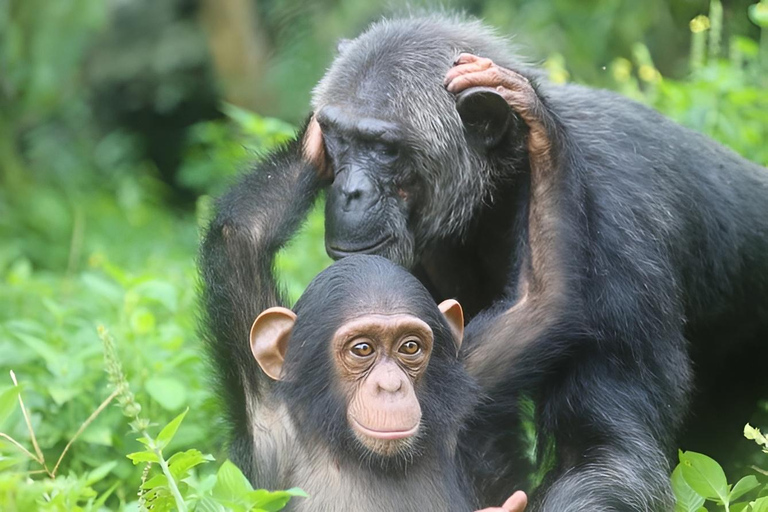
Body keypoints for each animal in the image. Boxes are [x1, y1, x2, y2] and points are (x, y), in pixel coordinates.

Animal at [237, 254, 528, 510]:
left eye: (410, 346)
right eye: (363, 349)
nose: (390, 385)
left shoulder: (473, 375)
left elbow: (533, 302)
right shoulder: (268, 417)